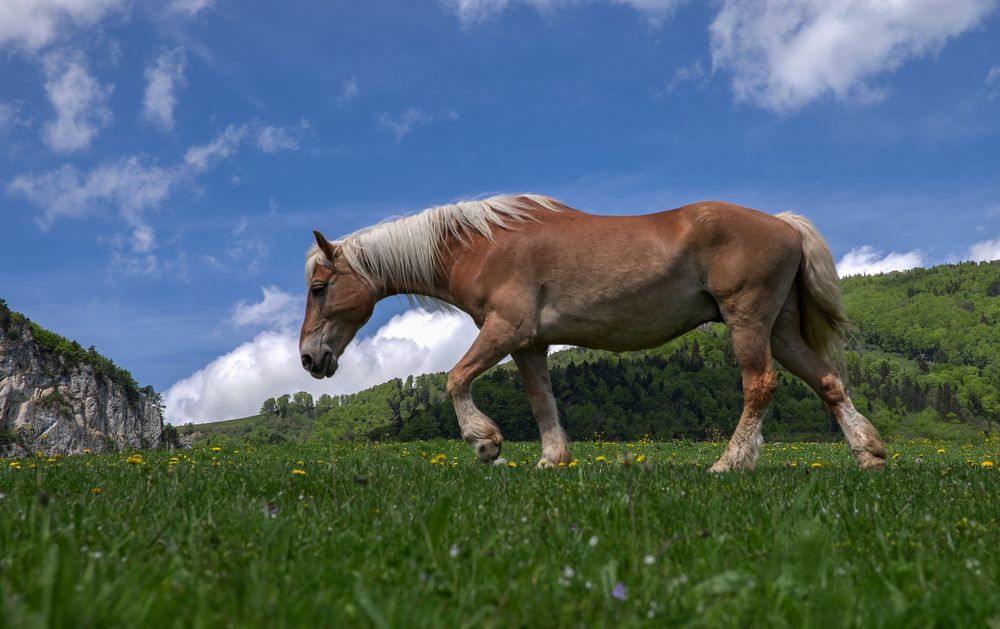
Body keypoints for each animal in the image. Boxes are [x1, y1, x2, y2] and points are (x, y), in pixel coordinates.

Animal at [296, 194, 884, 468]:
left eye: (319, 287)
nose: (308, 359)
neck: (484, 246)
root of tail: (784, 224)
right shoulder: (530, 344)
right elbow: (541, 402)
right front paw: (551, 459)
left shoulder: (505, 330)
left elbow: (455, 378)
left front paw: (485, 443)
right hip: (780, 331)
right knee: (829, 383)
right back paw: (869, 454)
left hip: (748, 322)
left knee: (759, 387)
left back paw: (729, 463)